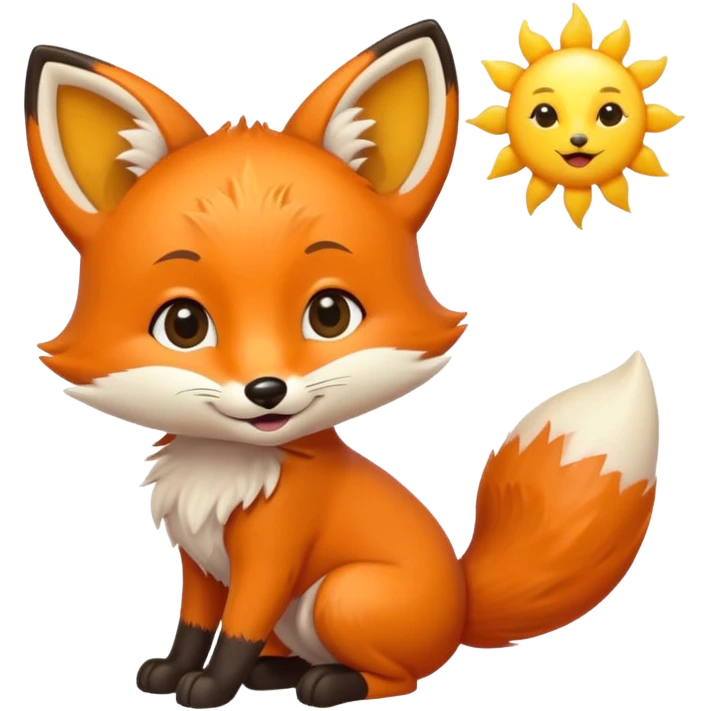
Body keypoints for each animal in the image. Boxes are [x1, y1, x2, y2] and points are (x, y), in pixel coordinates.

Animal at [25, 21, 661, 711]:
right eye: (183, 325)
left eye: (329, 314)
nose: (267, 390)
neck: (226, 469)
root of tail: (461, 604)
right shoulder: (198, 562)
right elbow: (193, 625)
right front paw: (171, 672)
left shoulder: (271, 559)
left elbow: (236, 631)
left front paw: (210, 687)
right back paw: (277, 675)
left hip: (340, 595)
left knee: (398, 677)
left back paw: (329, 682)